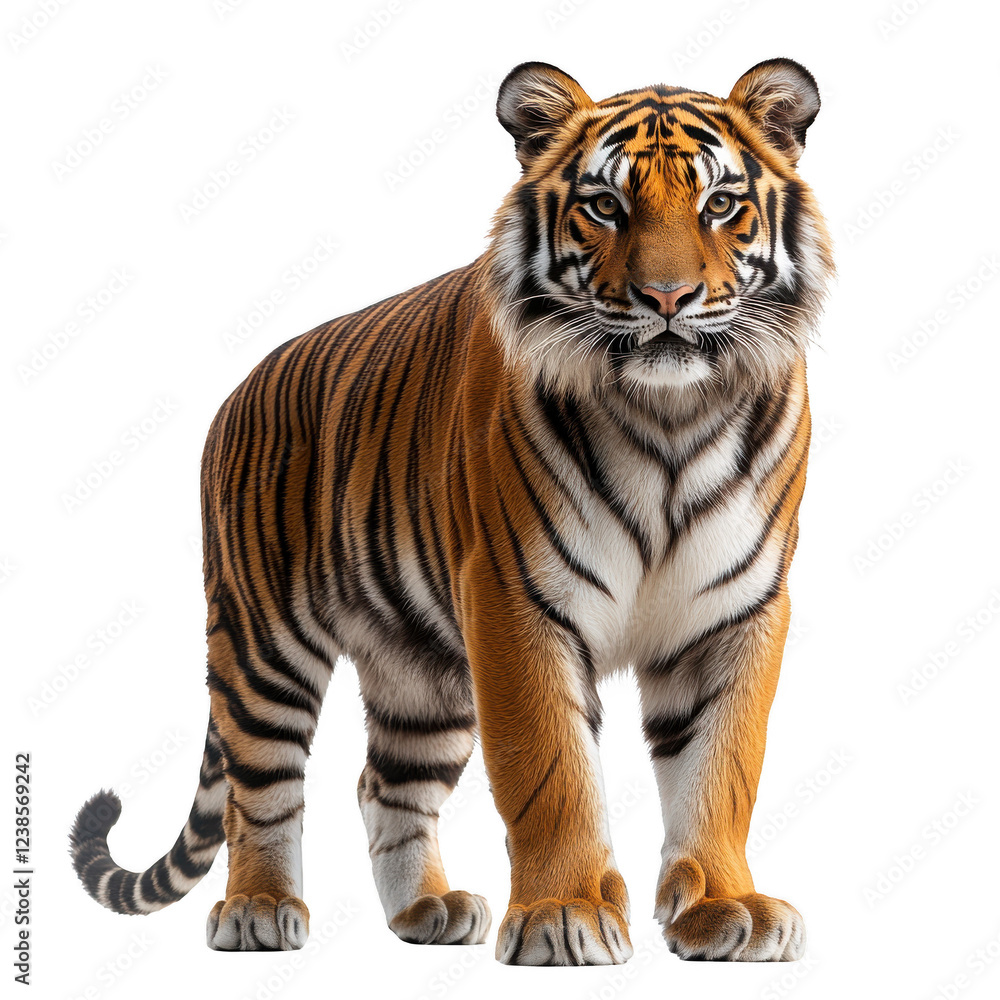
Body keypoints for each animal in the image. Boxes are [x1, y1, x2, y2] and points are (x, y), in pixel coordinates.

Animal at [70, 58, 834, 966]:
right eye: (605, 206)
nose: (668, 297)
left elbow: (722, 770)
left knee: (383, 782)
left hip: (422, 668)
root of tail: (240, 389)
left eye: (720, 203)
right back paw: (258, 909)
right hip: (262, 641)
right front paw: (564, 915)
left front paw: (725, 909)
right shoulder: (515, 600)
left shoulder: (736, 610)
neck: (670, 416)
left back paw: (426, 910)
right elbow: (550, 769)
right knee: (261, 785)